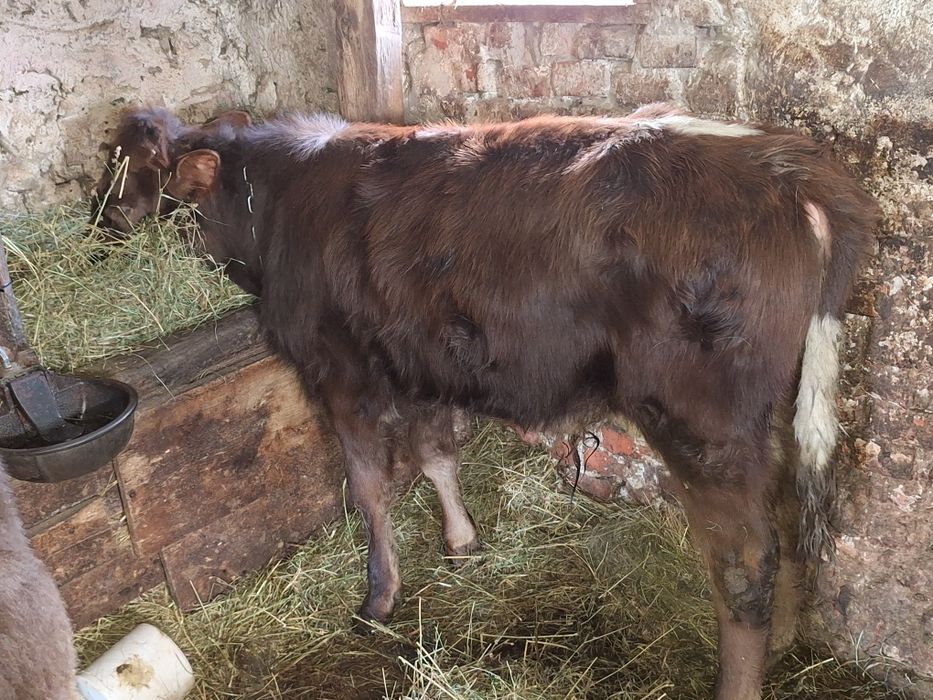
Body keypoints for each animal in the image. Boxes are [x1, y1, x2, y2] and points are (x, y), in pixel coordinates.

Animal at [89, 103, 879, 700]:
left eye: (124, 168)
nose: (94, 231)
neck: (277, 203)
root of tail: (776, 159)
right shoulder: (419, 364)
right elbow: (438, 456)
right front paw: (462, 541)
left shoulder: (342, 372)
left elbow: (369, 487)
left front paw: (379, 598)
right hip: (768, 415)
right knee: (784, 524)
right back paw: (781, 641)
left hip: (700, 419)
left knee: (743, 562)